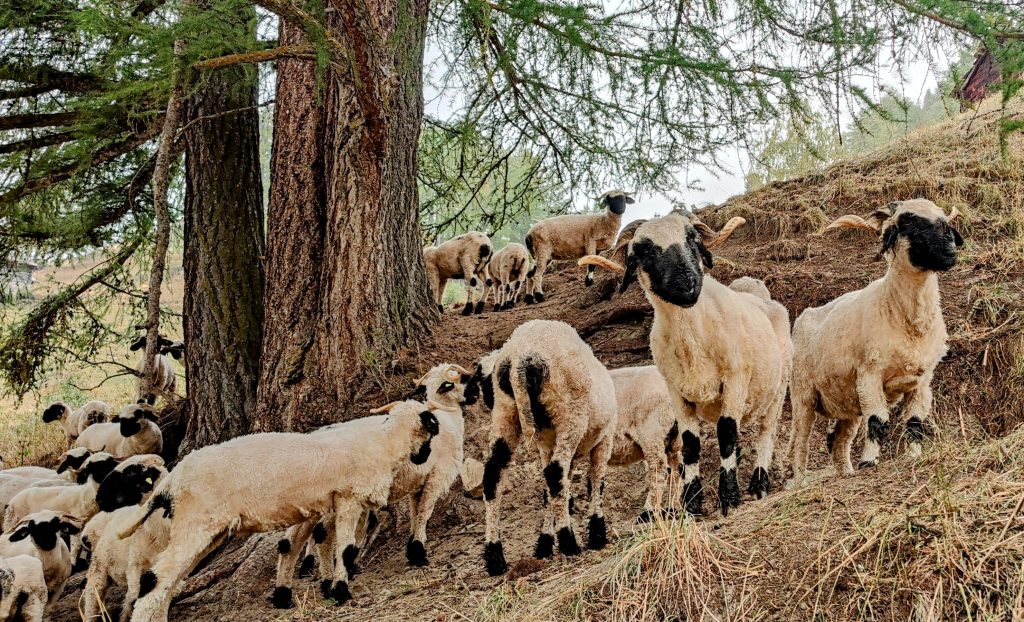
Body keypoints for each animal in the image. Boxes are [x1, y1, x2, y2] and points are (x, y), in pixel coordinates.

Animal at [117, 400, 442, 621]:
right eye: (431, 432)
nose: (424, 457)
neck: (384, 444)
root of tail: (173, 478)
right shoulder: (349, 498)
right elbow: (346, 549)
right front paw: (341, 590)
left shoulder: (336, 503)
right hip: (196, 523)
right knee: (156, 578)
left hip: (205, 530)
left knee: (171, 581)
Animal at [271, 364, 477, 608]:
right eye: (459, 380)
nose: (476, 394)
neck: (447, 419)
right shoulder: (436, 477)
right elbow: (424, 514)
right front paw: (419, 553)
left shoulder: (416, 484)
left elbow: (415, 514)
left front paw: (412, 550)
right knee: (320, 535)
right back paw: (329, 584)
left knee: (290, 542)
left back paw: (285, 594)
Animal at [479, 319, 617, 576]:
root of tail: (520, 358)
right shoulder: (605, 439)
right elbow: (596, 481)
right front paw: (596, 534)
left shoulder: (546, 446)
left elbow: (550, 492)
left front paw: (544, 543)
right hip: (570, 415)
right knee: (555, 472)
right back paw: (569, 542)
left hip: (505, 414)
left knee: (493, 476)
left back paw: (495, 556)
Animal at [579, 209, 792, 517]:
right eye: (644, 251)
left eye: (692, 237)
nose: (687, 282)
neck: (694, 340)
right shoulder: (677, 394)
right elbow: (691, 445)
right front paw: (691, 505)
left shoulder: (735, 381)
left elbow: (727, 434)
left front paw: (729, 499)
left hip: (779, 386)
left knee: (766, 431)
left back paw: (759, 484)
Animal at [786, 199, 963, 487]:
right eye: (907, 220)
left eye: (944, 220)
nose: (949, 249)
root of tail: (803, 316)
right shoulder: (870, 374)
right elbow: (877, 421)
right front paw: (869, 462)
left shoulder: (923, 381)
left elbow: (915, 422)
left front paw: (913, 455)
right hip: (803, 393)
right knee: (801, 439)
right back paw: (800, 480)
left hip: (846, 401)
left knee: (839, 440)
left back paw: (846, 473)